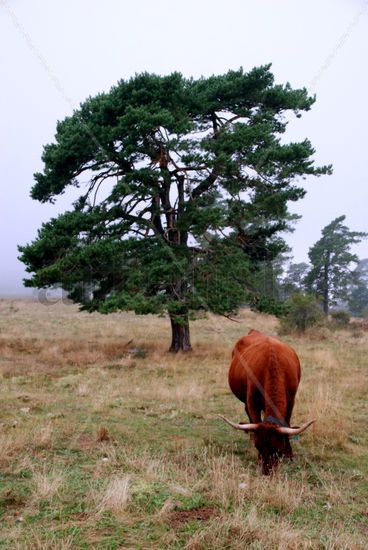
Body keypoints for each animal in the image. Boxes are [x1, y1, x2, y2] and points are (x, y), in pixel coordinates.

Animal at [220, 330, 314, 476]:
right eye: (258, 447)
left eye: (278, 449)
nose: (266, 472)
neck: (272, 364)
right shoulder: (252, 401)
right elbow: (255, 419)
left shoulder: (291, 401)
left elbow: (287, 423)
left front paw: (289, 454)